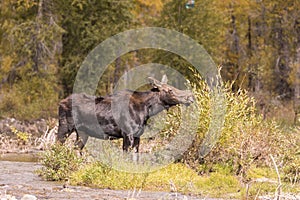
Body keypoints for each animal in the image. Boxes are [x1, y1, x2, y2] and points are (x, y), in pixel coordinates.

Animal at [56, 76, 195, 152]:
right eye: (170, 90)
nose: (190, 97)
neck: (147, 110)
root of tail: (60, 102)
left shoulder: (138, 136)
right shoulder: (127, 134)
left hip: (83, 133)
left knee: (75, 149)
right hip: (65, 127)